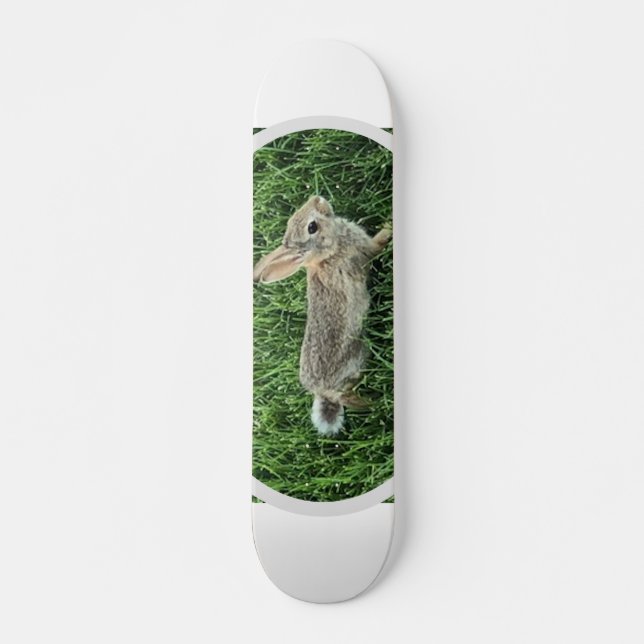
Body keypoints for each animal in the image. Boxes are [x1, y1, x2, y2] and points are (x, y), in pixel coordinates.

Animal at [253, 195, 391, 435]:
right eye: (312, 227)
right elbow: (378, 244)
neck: (329, 252)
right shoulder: (366, 250)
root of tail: (321, 390)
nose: (317, 199)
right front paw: (389, 226)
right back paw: (375, 405)